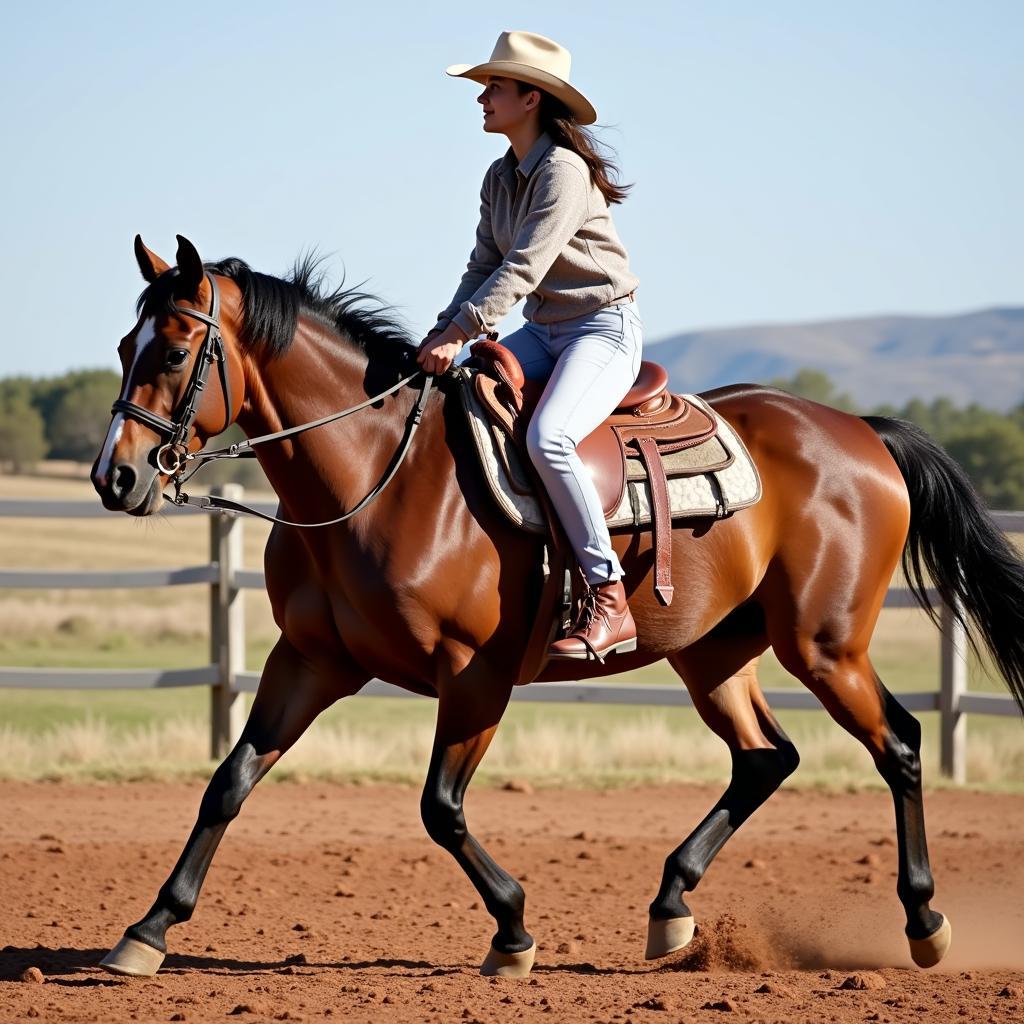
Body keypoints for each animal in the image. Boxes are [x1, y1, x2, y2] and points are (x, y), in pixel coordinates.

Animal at [90, 235, 1024, 978]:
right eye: (122, 344)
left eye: (171, 353)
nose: (116, 477)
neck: (382, 474)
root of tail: (862, 432)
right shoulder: (311, 660)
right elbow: (229, 782)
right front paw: (149, 929)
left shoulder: (475, 676)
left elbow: (439, 808)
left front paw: (512, 932)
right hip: (714, 653)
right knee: (766, 758)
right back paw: (671, 908)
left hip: (824, 646)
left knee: (898, 745)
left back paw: (925, 922)